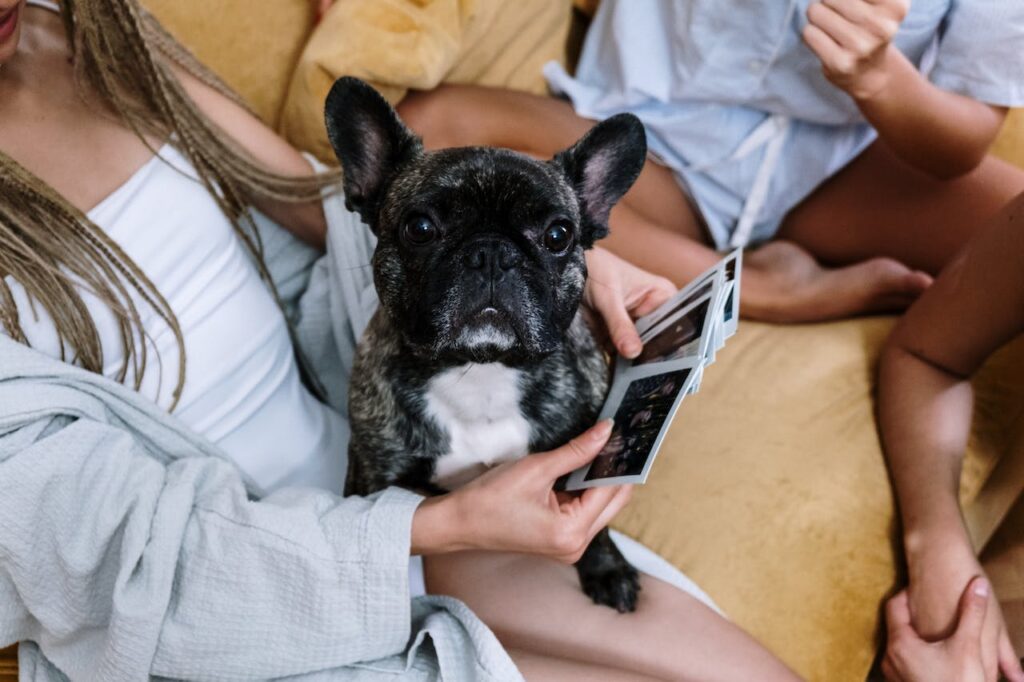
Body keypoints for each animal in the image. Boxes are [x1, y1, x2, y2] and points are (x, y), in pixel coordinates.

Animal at [327, 75, 647, 610]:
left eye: (558, 234)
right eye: (419, 227)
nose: (492, 253)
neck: (481, 368)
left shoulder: (585, 465)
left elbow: (596, 523)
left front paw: (606, 568)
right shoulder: (371, 478)